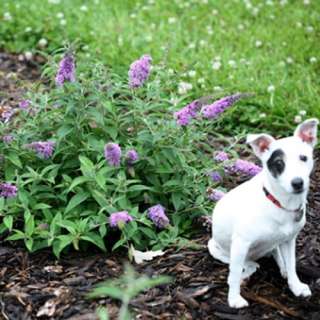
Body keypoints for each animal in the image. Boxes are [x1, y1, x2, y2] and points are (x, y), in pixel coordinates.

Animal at [208, 117, 318, 308]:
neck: (280, 203)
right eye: (279, 163)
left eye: (303, 158)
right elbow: (234, 274)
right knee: (244, 266)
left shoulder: (289, 240)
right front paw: (234, 299)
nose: (297, 183)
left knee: (274, 253)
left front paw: (295, 286)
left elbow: (292, 265)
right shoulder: (240, 243)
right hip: (217, 248)